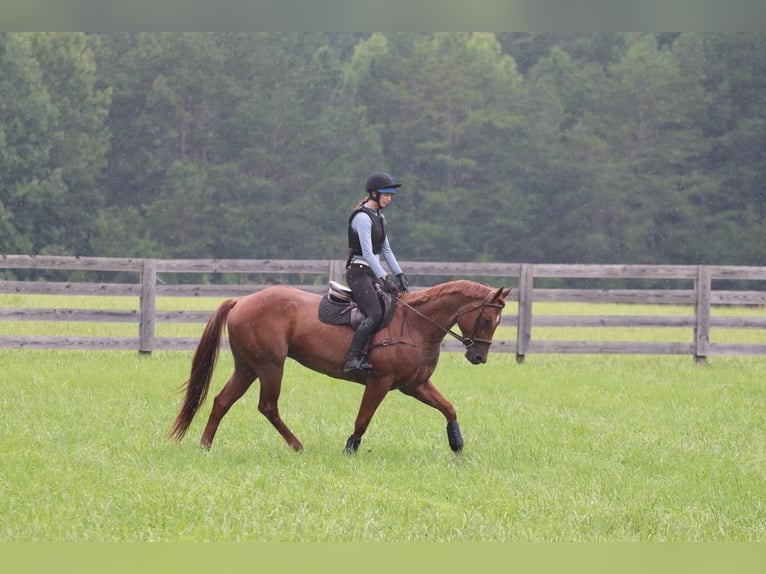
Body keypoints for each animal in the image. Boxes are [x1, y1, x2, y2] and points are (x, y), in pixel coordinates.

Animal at [170, 282, 512, 456]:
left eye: (497, 321)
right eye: (486, 319)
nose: (478, 357)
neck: (415, 323)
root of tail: (242, 300)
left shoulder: (414, 385)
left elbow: (449, 408)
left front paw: (457, 445)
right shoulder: (380, 382)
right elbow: (363, 418)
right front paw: (350, 448)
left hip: (248, 367)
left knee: (222, 401)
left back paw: (205, 446)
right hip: (270, 366)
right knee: (267, 406)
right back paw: (297, 446)